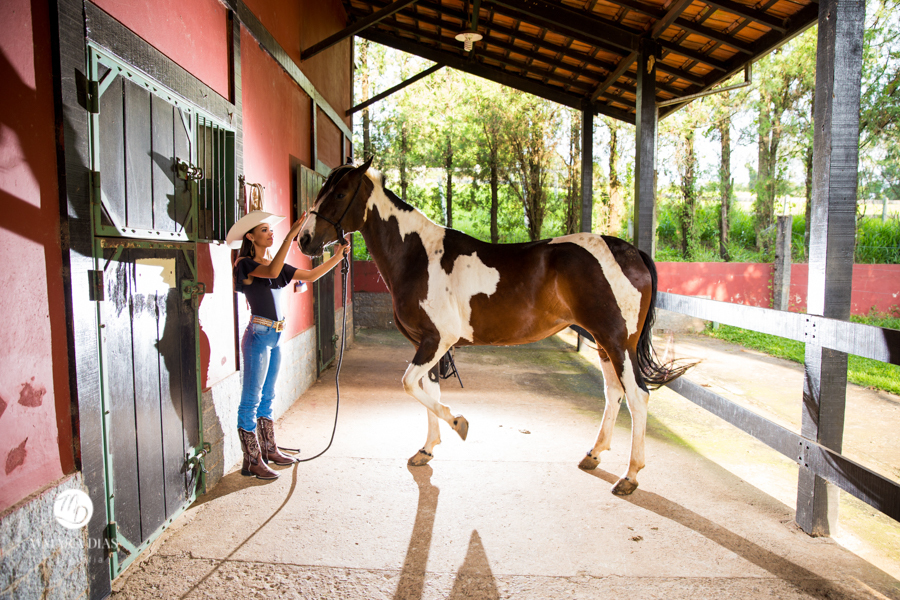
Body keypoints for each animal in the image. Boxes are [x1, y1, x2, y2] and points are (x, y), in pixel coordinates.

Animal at [298, 157, 692, 495]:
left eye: (339, 193)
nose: (304, 240)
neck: (418, 256)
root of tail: (631, 252)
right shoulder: (425, 343)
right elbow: (428, 392)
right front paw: (427, 449)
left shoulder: (437, 341)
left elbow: (411, 385)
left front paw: (459, 424)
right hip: (604, 342)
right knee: (614, 394)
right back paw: (594, 455)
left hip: (618, 342)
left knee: (638, 397)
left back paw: (630, 476)